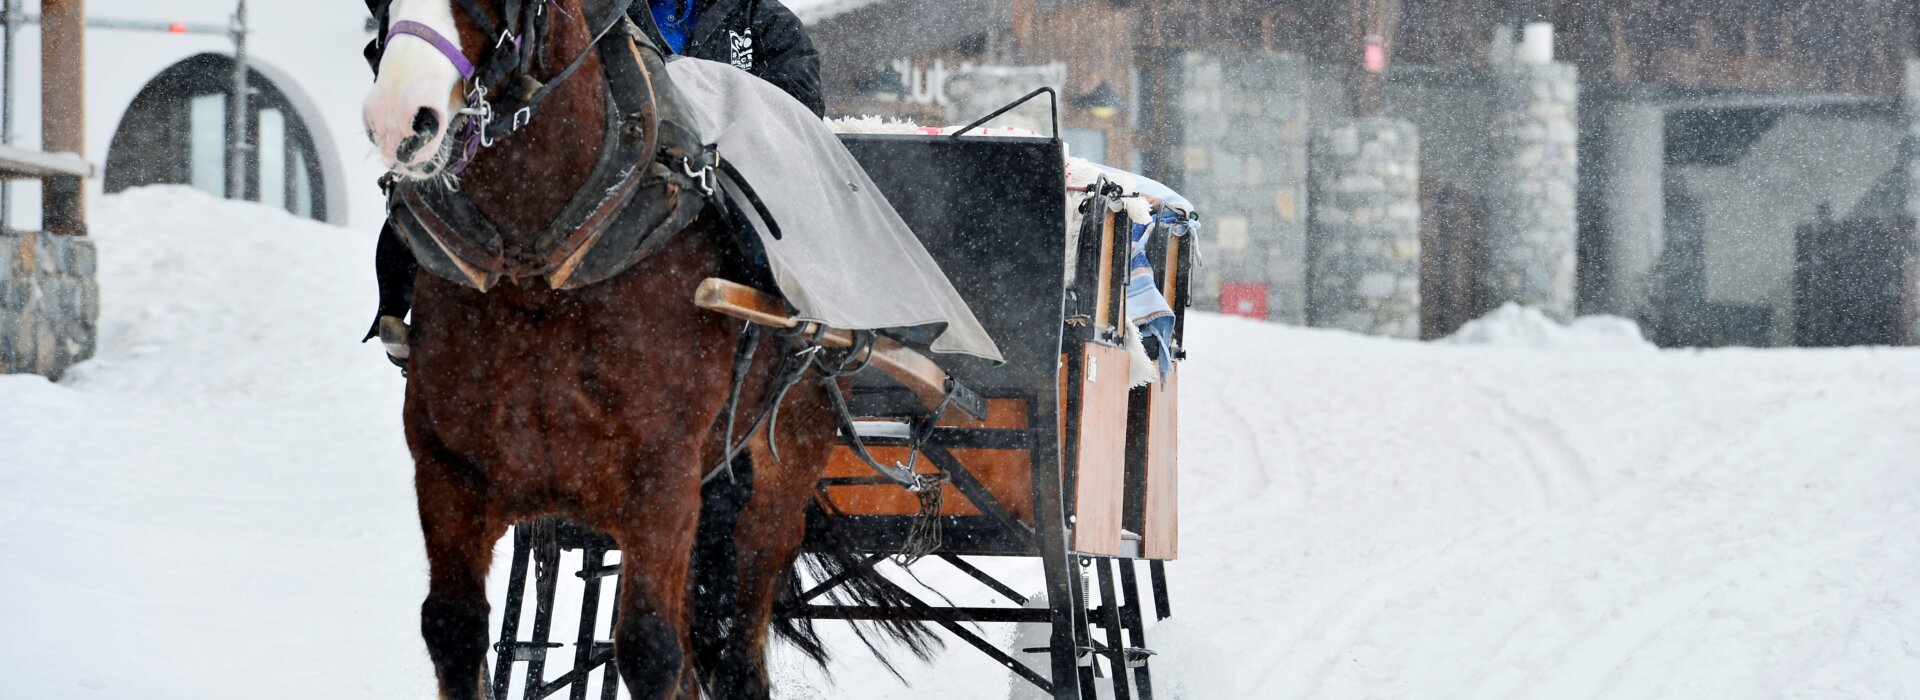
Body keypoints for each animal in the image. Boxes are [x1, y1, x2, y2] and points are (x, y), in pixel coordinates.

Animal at [364, 1, 929, 698]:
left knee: (741, 629)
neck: (536, 269)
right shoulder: (448, 470)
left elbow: (650, 649)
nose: (397, 115)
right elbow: (452, 626)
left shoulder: (660, 482)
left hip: (788, 456)